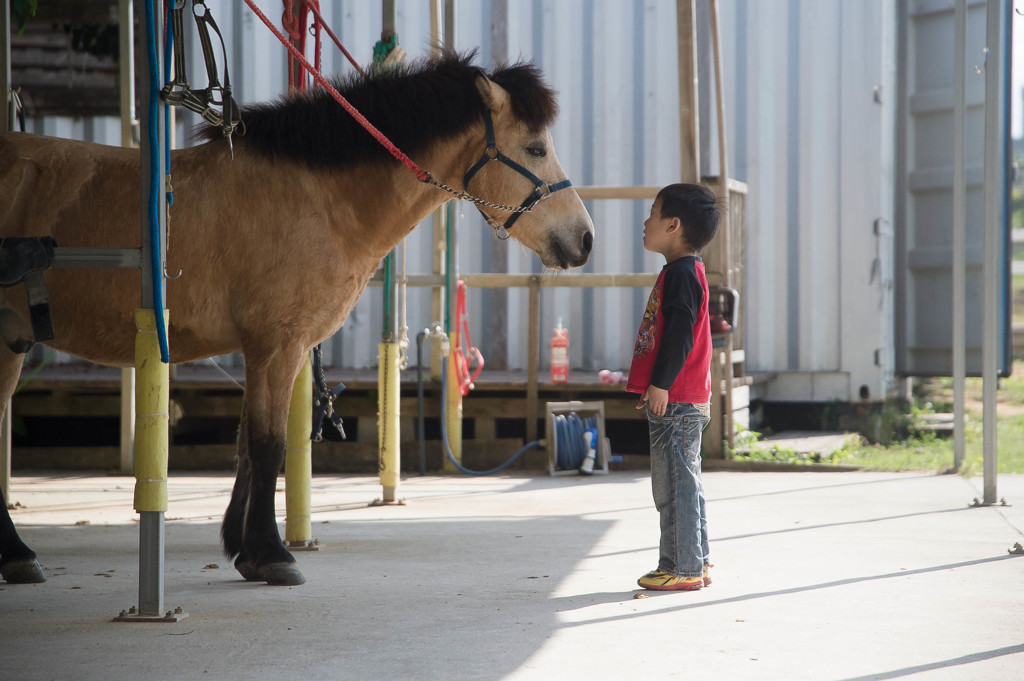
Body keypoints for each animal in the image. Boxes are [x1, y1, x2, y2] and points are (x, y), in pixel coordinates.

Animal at [0, 51, 598, 585]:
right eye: (535, 147)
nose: (585, 239)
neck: (318, 197)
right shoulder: (277, 344)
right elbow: (269, 445)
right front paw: (271, 554)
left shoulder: (264, 348)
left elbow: (247, 444)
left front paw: (242, 548)